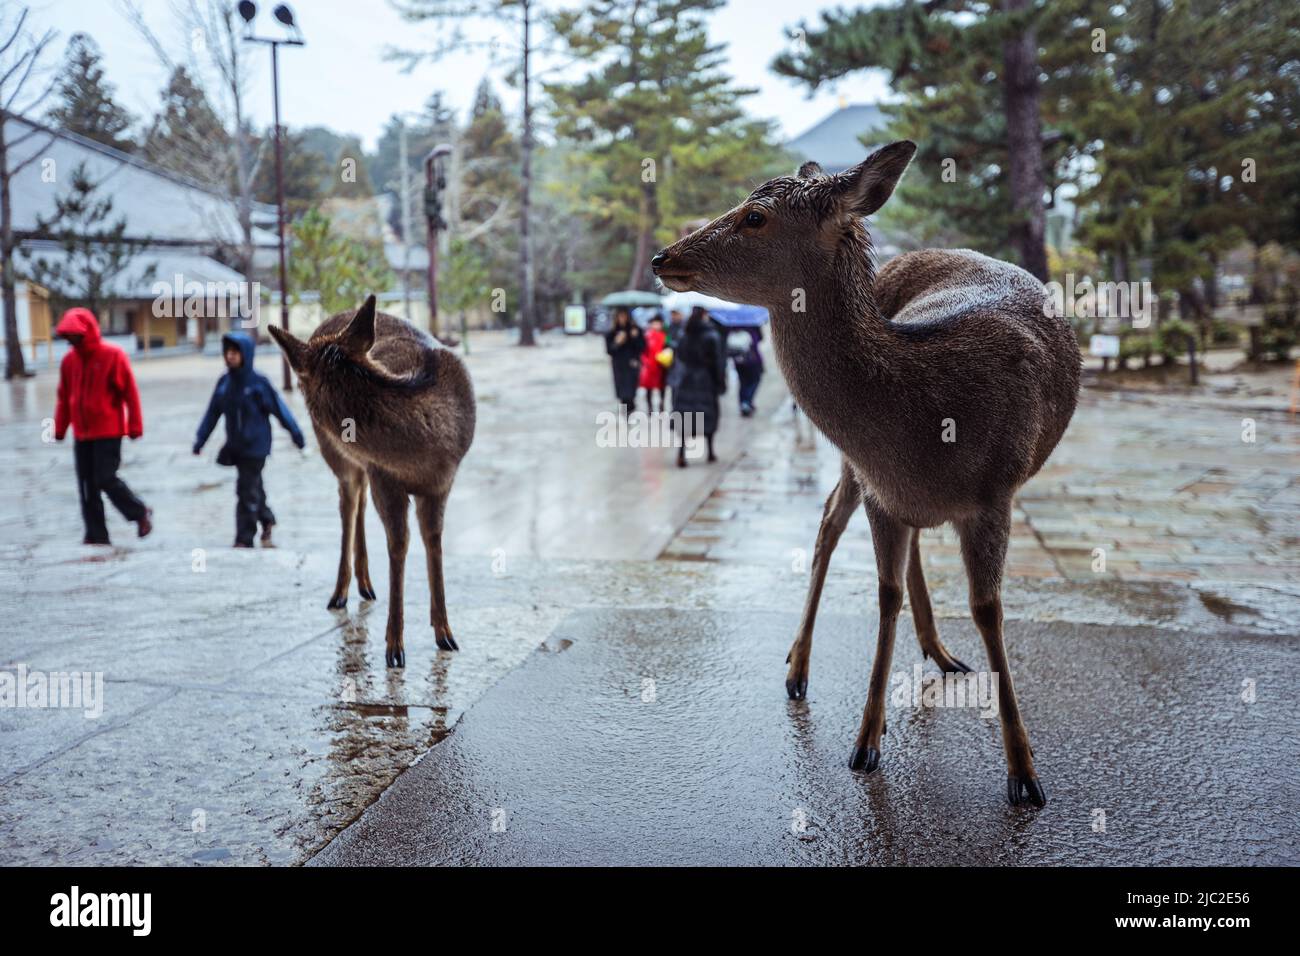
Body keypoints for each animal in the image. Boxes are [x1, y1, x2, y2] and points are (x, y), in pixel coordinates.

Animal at [269, 295, 478, 671]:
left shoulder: (442, 482)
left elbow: (433, 540)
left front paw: (445, 633)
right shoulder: (385, 477)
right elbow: (399, 544)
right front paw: (395, 647)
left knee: (360, 501)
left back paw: (365, 584)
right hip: (337, 456)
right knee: (349, 501)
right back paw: (341, 592)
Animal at [655, 140, 1081, 806]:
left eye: (755, 217)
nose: (662, 257)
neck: (931, 415)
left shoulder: (995, 492)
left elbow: (987, 610)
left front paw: (1024, 773)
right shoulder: (880, 484)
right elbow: (885, 596)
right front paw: (865, 743)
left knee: (903, 541)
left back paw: (940, 651)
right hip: (854, 467)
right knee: (830, 522)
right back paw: (799, 667)